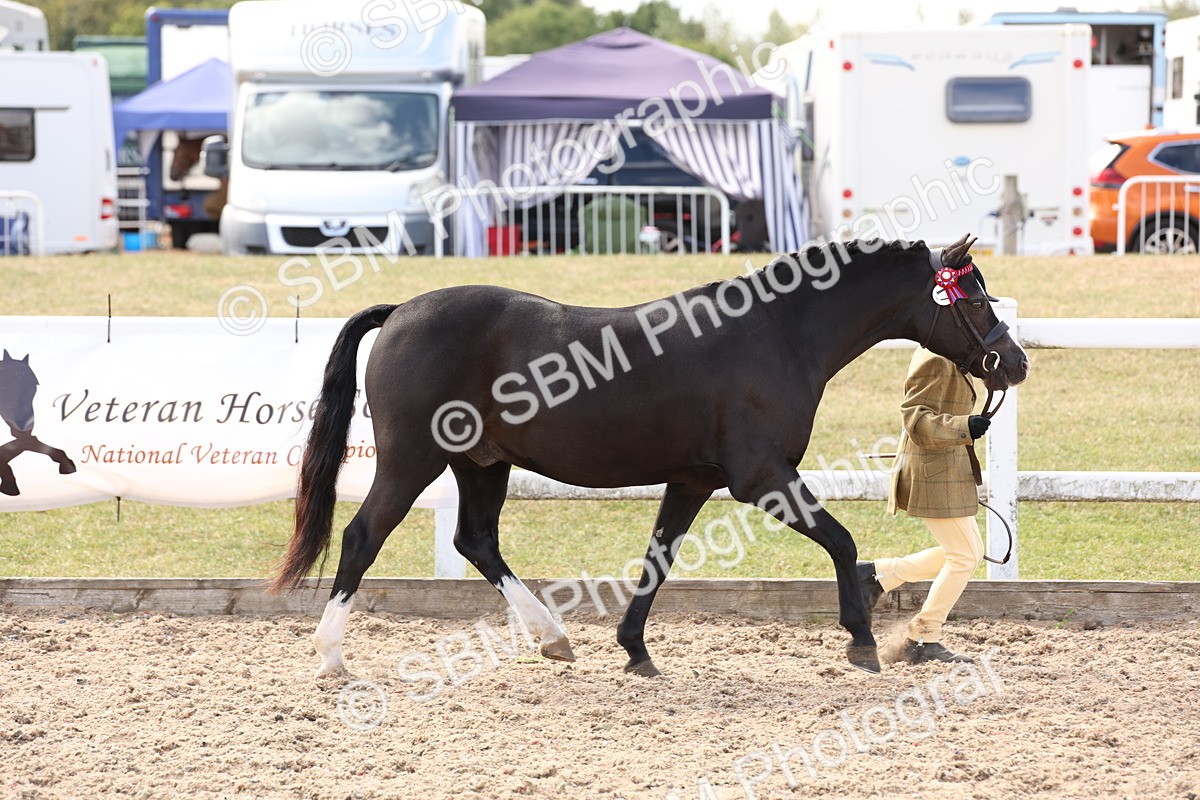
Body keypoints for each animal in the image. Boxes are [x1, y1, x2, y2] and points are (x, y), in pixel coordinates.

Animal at [272, 234, 1029, 679]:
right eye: (974, 295)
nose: (1014, 362)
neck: (778, 334)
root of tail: (402, 311)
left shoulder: (692, 481)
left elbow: (657, 560)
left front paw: (634, 649)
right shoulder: (762, 479)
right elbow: (841, 541)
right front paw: (861, 639)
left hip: (482, 463)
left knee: (476, 541)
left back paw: (553, 638)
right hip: (412, 461)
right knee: (362, 536)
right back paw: (331, 657)